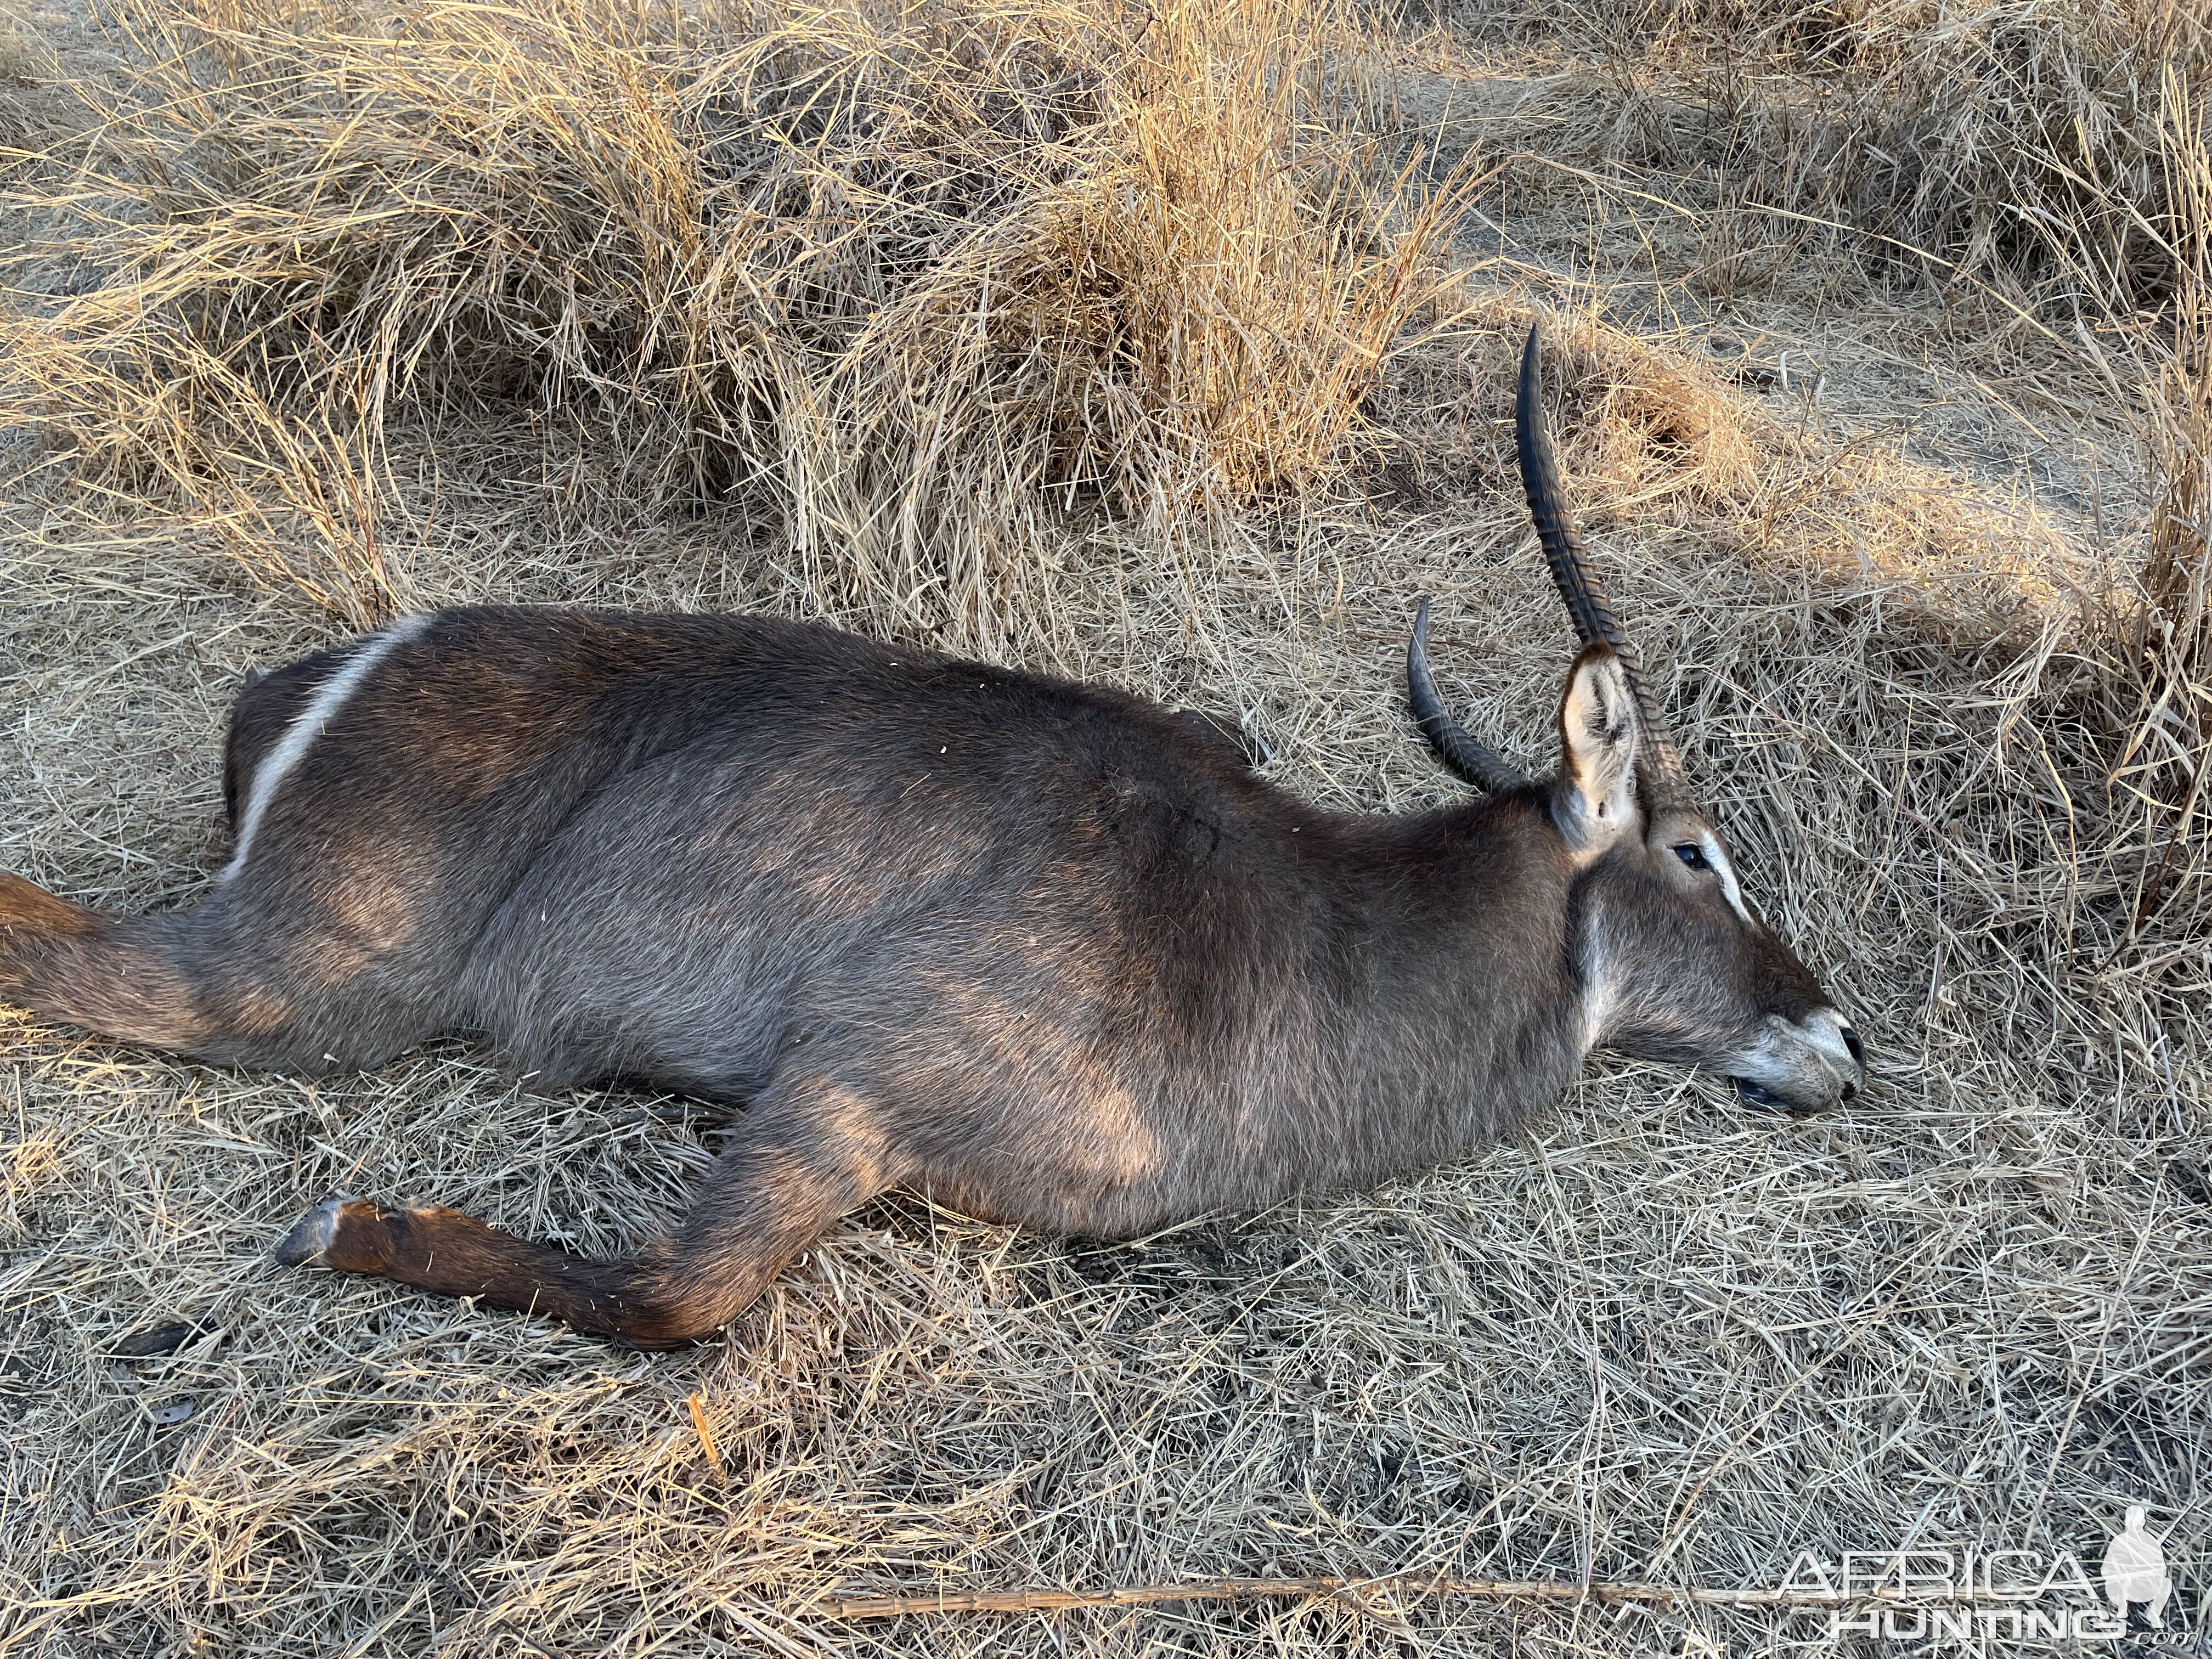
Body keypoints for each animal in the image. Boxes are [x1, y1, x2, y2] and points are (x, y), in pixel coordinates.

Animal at [4, 334, 1867, 1353]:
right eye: (1700, 853)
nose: (1843, 1033)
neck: (1291, 926)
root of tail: (318, 673)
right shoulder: (851, 1082)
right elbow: (673, 1301)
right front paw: (352, 1232)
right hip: (307, 978)